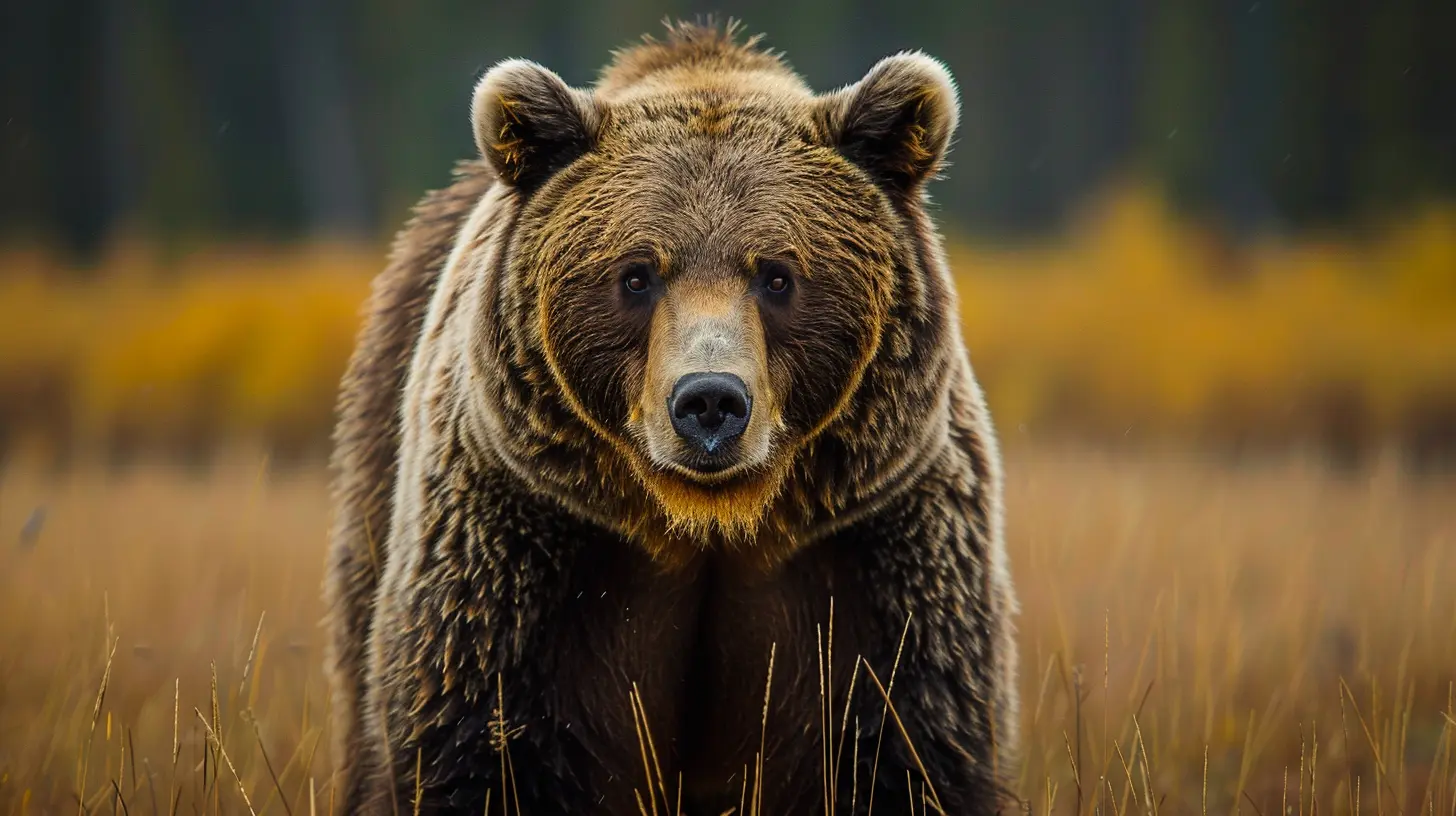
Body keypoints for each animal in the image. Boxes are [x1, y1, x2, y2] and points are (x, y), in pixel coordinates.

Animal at [325, 20, 1019, 815]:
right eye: (636, 274)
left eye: (776, 274)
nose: (710, 401)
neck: (705, 524)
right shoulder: (517, 548)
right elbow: (479, 743)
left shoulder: (882, 555)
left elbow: (912, 746)